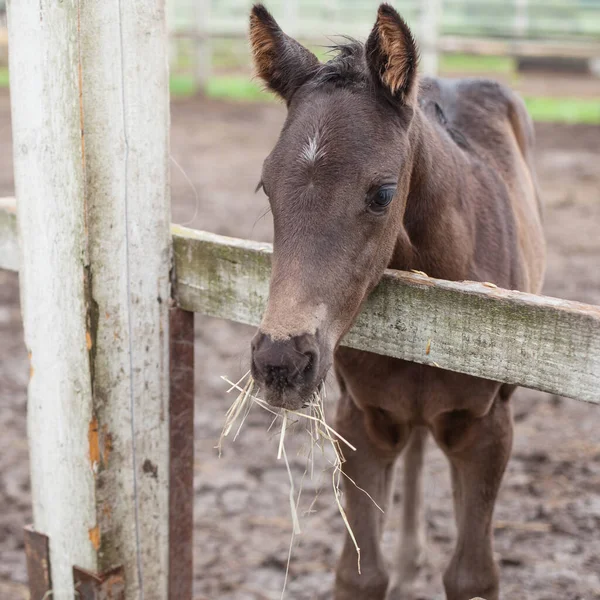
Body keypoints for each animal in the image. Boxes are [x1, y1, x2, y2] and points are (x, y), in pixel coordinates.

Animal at [246, 5, 548, 600]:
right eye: (266, 186)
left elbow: (472, 576)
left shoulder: (488, 428)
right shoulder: (365, 418)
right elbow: (360, 574)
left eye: (383, 193)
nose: (280, 362)